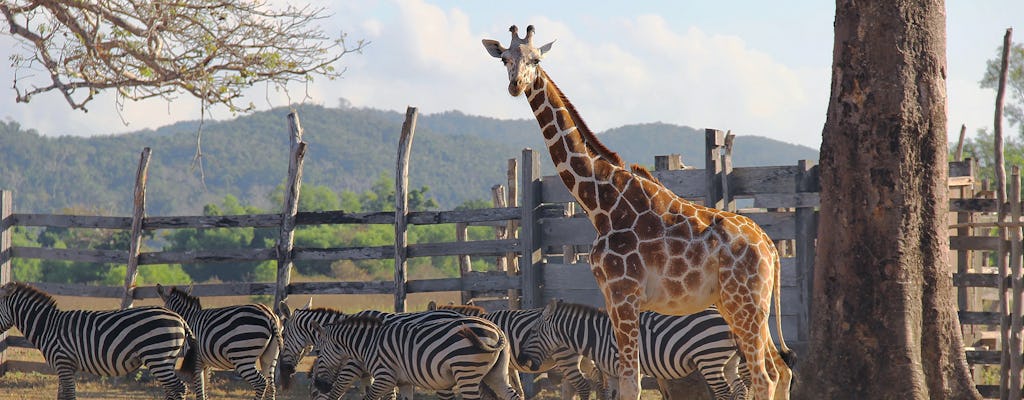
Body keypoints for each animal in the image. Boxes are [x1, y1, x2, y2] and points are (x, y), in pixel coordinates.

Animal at [0, 282, 192, 400]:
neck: (47, 326)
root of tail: (180, 319)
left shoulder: (64, 362)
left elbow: (69, 395)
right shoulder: (65, 366)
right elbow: (61, 395)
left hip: (157, 356)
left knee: (179, 388)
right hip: (167, 359)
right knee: (172, 389)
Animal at [313, 315, 524, 398]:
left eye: (319, 352)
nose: (319, 385)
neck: (368, 343)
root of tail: (497, 330)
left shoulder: (384, 376)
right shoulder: (404, 382)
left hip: (466, 372)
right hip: (496, 374)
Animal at [425, 302, 598, 398]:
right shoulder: (509, 366)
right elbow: (518, 391)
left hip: (565, 358)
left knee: (582, 385)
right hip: (584, 357)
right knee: (597, 376)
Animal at [516, 300, 749, 400]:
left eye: (533, 331)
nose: (522, 359)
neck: (598, 335)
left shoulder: (624, 367)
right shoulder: (611, 373)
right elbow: (612, 396)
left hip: (709, 357)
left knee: (724, 391)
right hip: (728, 361)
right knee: (740, 388)